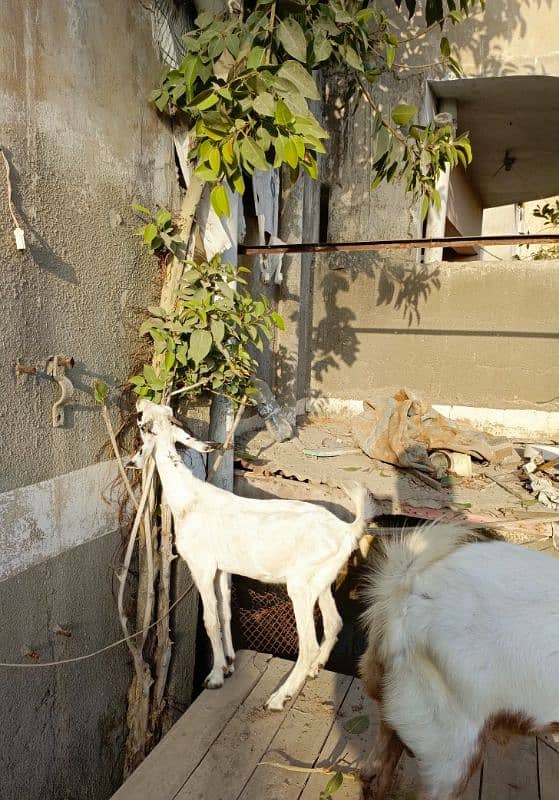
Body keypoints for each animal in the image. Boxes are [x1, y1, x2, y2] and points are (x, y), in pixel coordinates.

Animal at [129, 398, 370, 708]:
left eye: (141, 420)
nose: (140, 401)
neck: (190, 499)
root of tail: (346, 530)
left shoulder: (201, 566)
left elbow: (209, 619)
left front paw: (214, 677)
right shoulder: (222, 568)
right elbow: (224, 612)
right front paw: (229, 663)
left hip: (300, 587)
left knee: (308, 645)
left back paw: (279, 697)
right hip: (322, 582)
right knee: (334, 623)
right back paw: (314, 670)